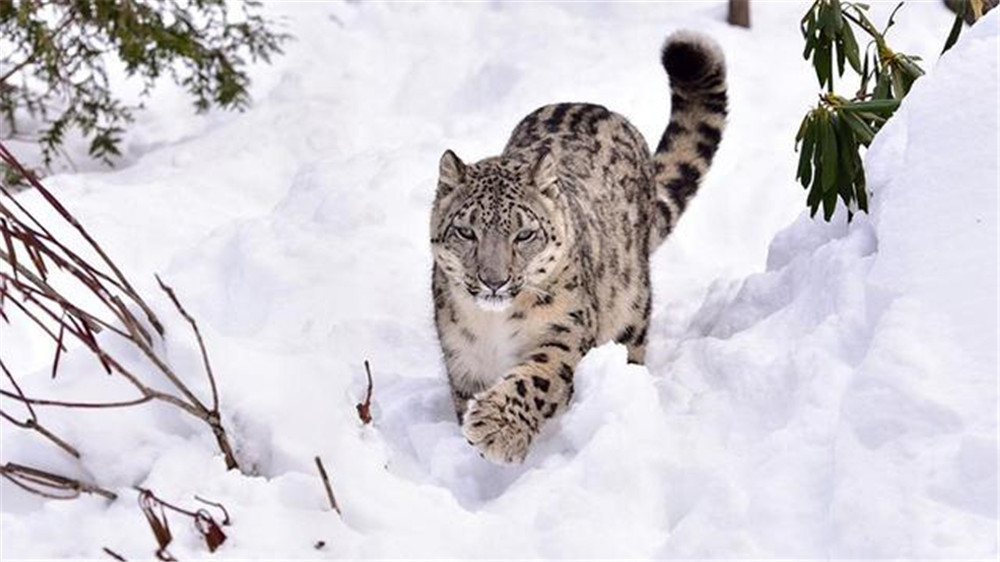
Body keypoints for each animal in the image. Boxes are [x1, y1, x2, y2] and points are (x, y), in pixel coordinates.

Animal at [430, 30, 728, 462]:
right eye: (467, 232)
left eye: (524, 234)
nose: (493, 281)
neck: (493, 325)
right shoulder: (462, 359)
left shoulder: (564, 332)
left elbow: (536, 378)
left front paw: (496, 428)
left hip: (630, 312)